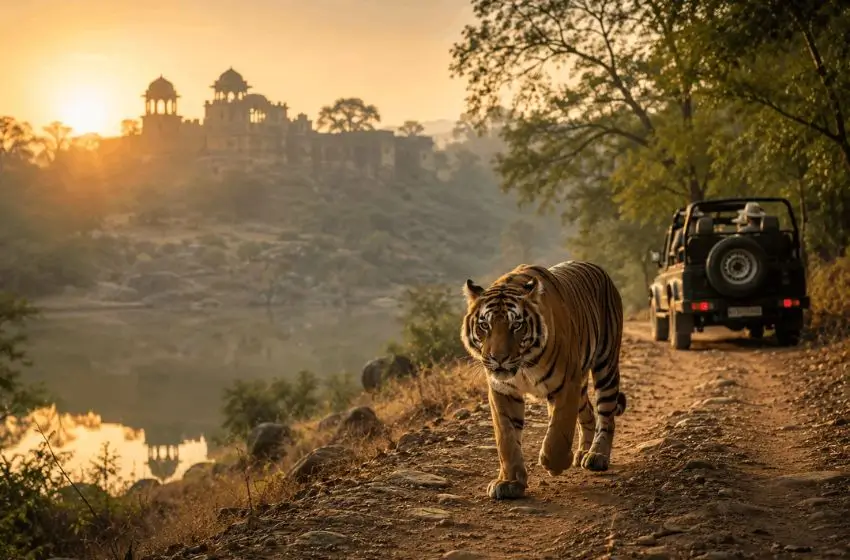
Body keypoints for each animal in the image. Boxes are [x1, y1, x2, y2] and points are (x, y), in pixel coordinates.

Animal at [461, 260, 627, 500]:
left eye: (516, 325)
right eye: (485, 325)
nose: (498, 358)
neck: (523, 366)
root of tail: (597, 268)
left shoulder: (566, 384)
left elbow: (558, 432)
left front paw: (556, 464)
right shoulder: (502, 390)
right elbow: (506, 438)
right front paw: (509, 482)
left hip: (605, 364)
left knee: (606, 415)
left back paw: (596, 456)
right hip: (582, 385)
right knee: (588, 414)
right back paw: (583, 451)